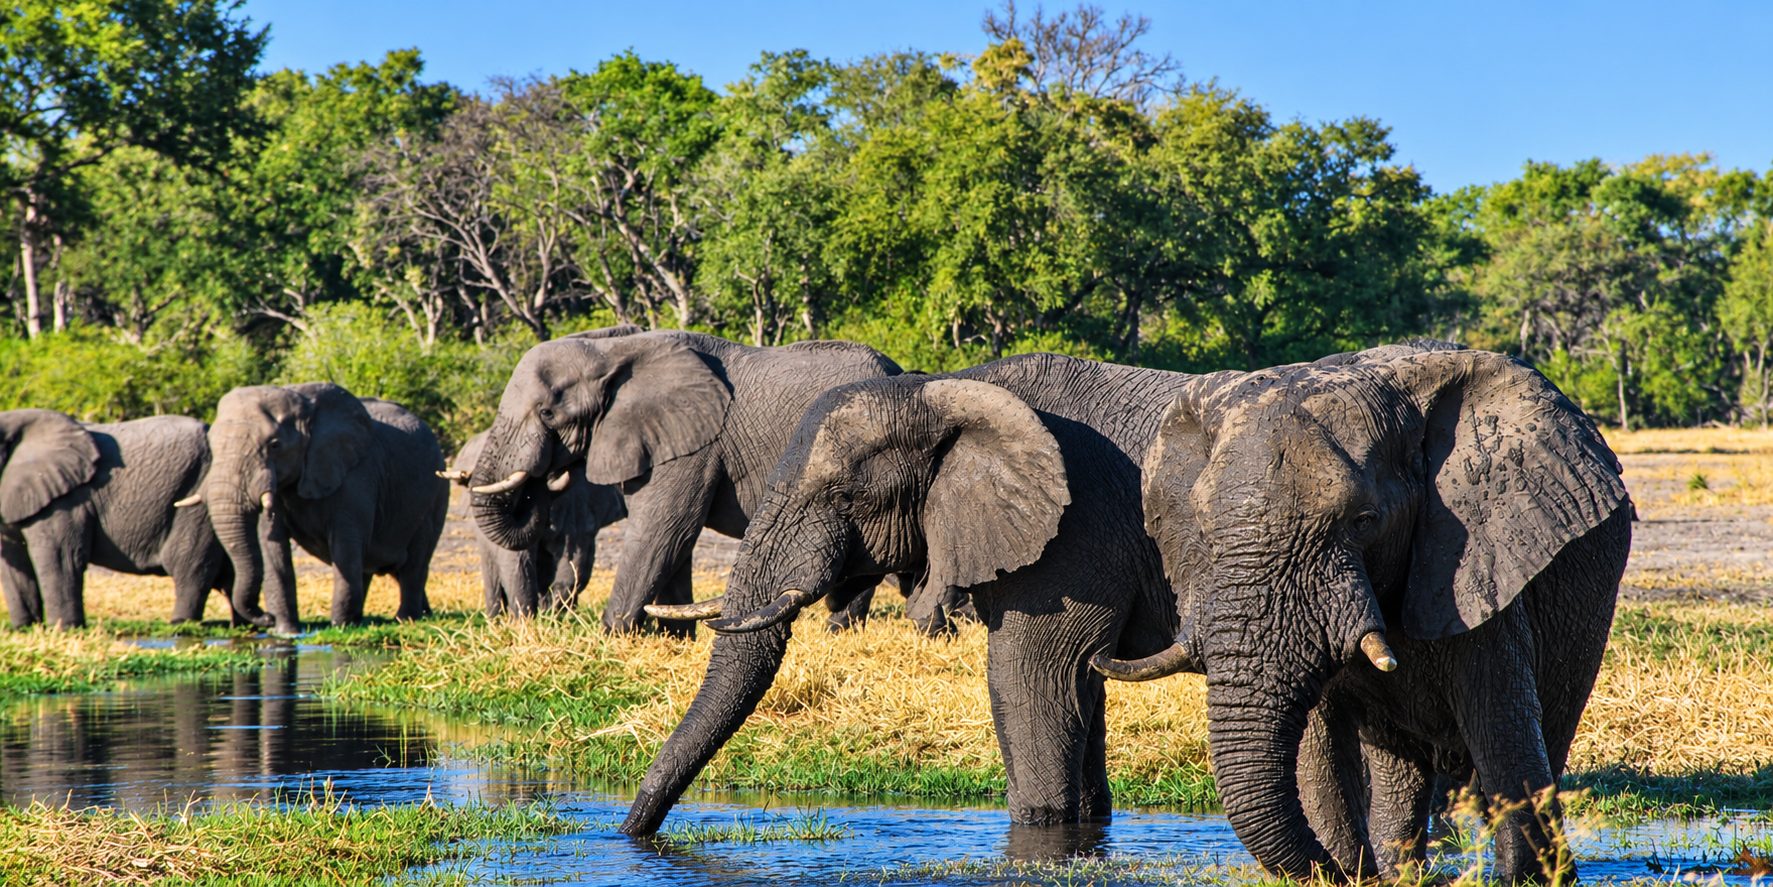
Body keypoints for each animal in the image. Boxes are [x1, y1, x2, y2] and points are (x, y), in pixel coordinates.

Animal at [0, 409, 232, 628]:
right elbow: (12, 565)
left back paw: (181, 624)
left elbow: (61, 555)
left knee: (187, 563)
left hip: (199, 492)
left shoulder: (65, 499)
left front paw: (64, 629)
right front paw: (24, 627)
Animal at [200, 383, 449, 636]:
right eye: (212, 445)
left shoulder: (357, 475)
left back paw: (406, 619)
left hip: (436, 493)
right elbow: (273, 548)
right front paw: (285, 632)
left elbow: (345, 546)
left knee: (414, 562)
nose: (265, 618)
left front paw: (340, 627)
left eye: (275, 445)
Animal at [469, 325, 939, 636]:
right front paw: (671, 638)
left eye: (547, 413)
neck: (614, 348)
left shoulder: (692, 444)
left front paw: (612, 637)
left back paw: (837, 633)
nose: (545, 478)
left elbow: (662, 529)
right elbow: (675, 540)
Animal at [620, 353, 1212, 836]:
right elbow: (1081, 686)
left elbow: (1031, 676)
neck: (947, 390)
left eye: (844, 497)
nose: (630, 832)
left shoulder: (1076, 529)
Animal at [1093, 343, 1631, 883]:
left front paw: (1528, 879)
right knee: (1399, 764)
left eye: (1364, 521)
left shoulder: (1477, 564)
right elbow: (1318, 747)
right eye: (1203, 529)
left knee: (1546, 731)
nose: (1342, 870)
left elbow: (1501, 728)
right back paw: (1398, 869)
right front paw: (1352, 870)